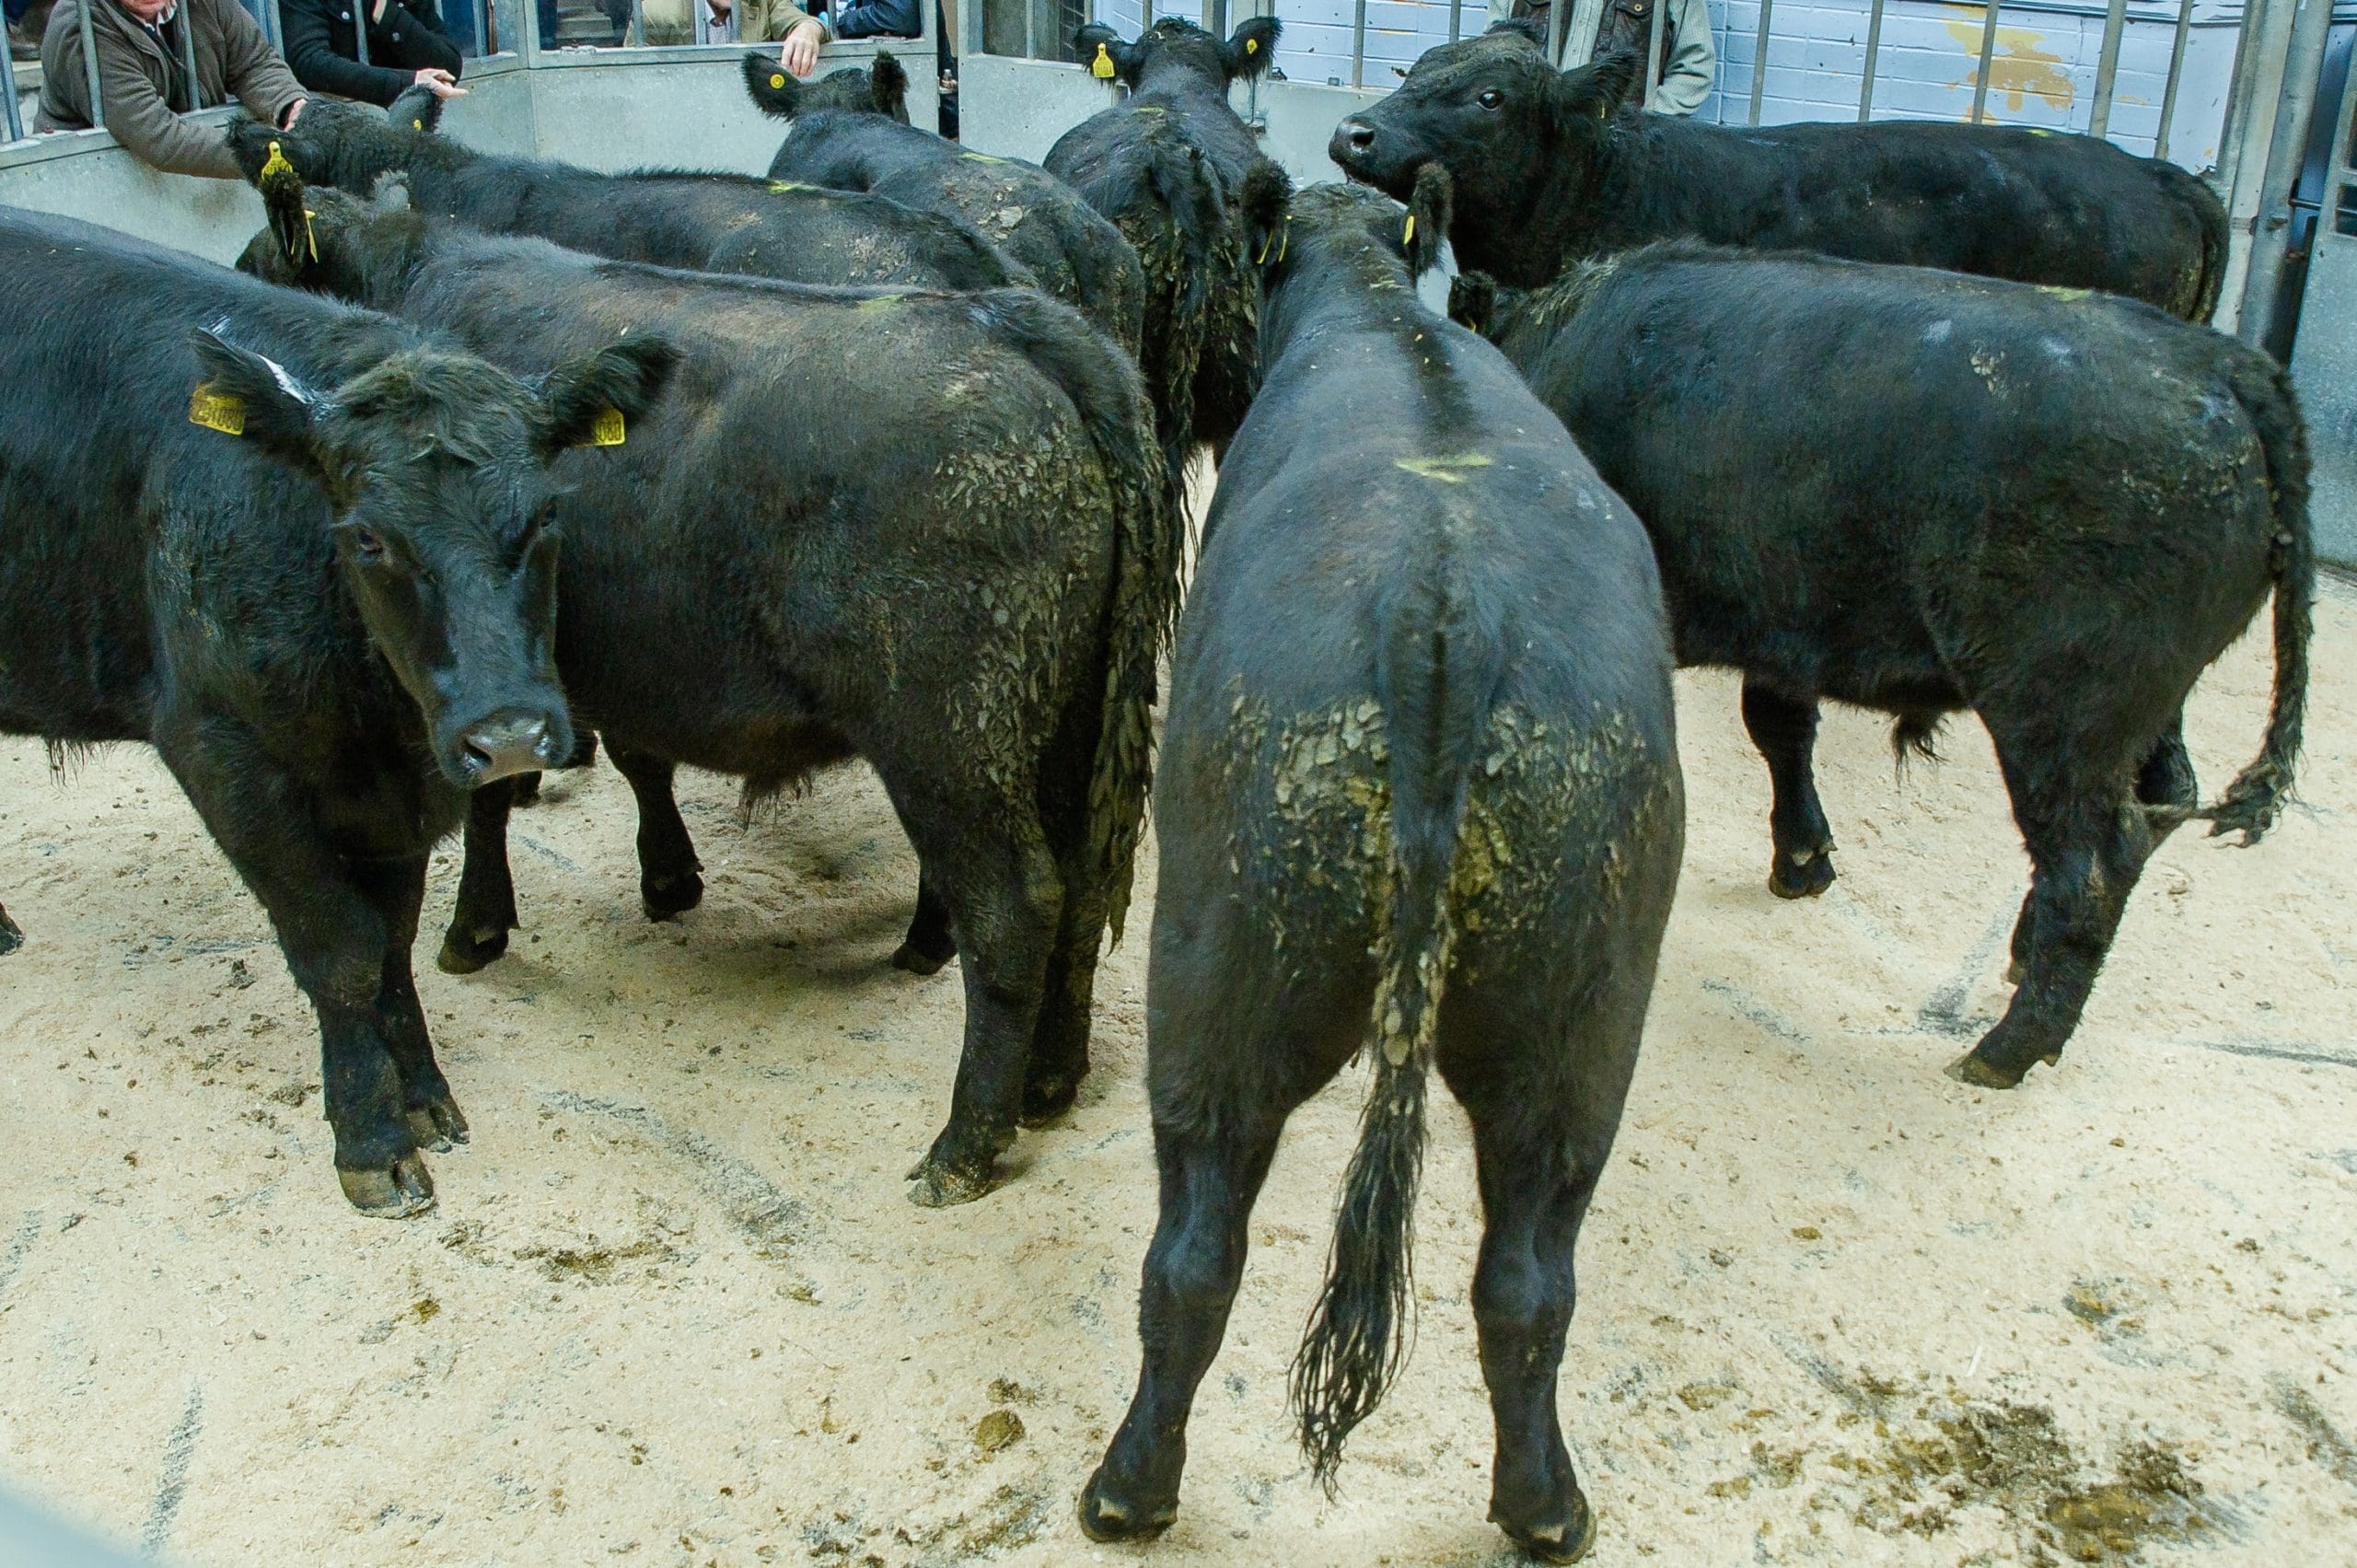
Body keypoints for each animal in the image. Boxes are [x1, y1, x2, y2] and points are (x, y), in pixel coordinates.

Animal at [0, 203, 677, 1216]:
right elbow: (339, 946)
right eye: (368, 537)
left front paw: (425, 1093)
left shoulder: (405, 784)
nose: (509, 736)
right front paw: (371, 1134)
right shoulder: (220, 747)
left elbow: (391, 937)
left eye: (548, 516)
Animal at [236, 163, 1177, 1208]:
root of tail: (1014, 323)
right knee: (1085, 883)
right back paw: (1051, 1080)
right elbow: (635, 758)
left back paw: (964, 1143)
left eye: (256, 259)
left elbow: (492, 794)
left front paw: (477, 926)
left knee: (1014, 908)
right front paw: (668, 874)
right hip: (1069, 720)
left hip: (953, 743)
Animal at [1077, 177, 1684, 1565]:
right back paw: (1546, 1506)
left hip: (1213, 981)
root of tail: (1439, 604)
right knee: (1529, 1278)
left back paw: (1127, 1485)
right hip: (1580, 1025)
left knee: (1192, 1250)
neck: (1370, 303)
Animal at [1449, 243, 2310, 1091]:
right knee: (2166, 796)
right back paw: (2023, 953)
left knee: (2096, 862)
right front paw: (1803, 858)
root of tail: (2222, 362)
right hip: (2145, 709)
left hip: (2062, 716)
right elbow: (1781, 730)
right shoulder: (1785, 630)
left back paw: (2008, 1046)